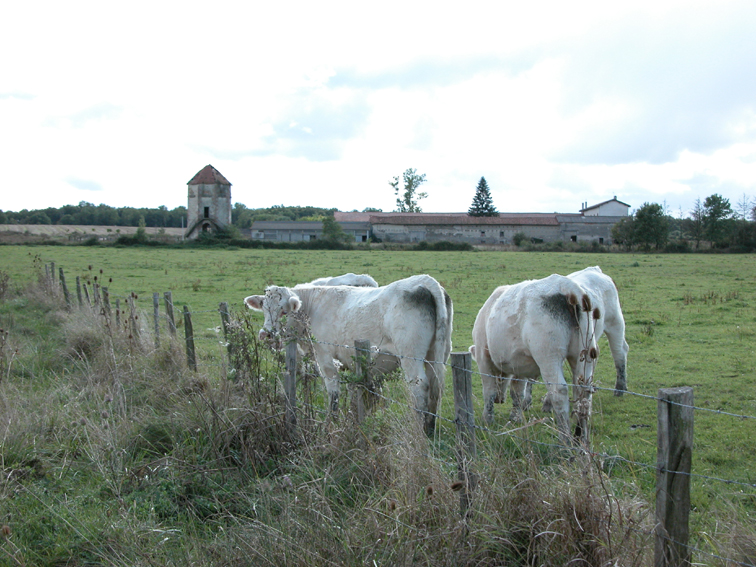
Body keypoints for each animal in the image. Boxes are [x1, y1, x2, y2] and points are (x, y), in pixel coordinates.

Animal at [245, 276, 452, 434]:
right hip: (437, 354)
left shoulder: (324, 356)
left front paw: (331, 423)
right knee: (435, 388)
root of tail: (424, 280)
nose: (266, 335)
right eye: (264, 309)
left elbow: (333, 391)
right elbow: (357, 392)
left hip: (410, 357)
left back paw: (419, 431)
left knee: (420, 388)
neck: (312, 305)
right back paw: (430, 429)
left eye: (283, 311)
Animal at [470, 276, 600, 444]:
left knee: (559, 392)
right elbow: (517, 393)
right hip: (584, 355)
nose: (500, 399)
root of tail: (567, 286)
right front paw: (516, 417)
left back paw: (564, 440)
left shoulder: (483, 357)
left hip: (548, 356)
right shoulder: (519, 365)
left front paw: (487, 419)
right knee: (584, 394)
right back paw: (581, 438)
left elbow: (489, 392)